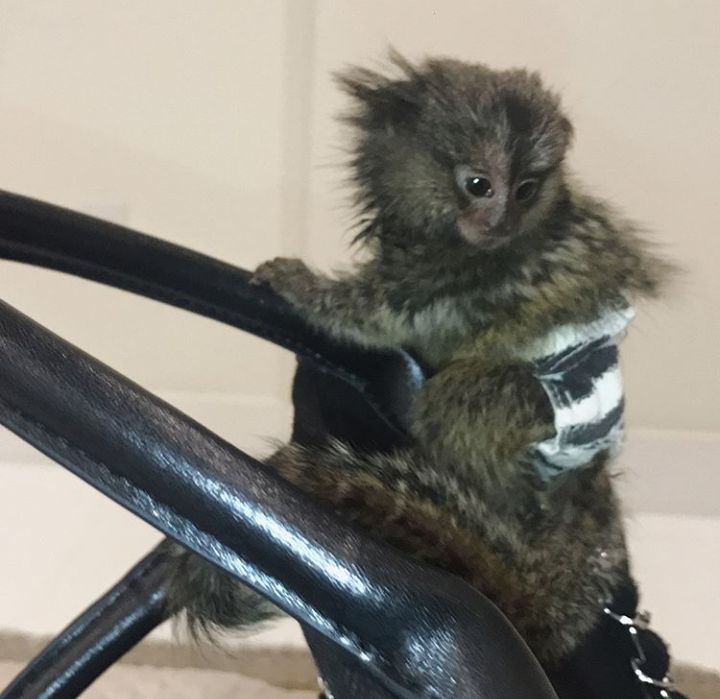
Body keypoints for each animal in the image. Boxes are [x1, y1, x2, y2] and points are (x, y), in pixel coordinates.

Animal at [164, 53, 672, 666]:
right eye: (479, 185)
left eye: (527, 190)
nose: (500, 220)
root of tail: (588, 485)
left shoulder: (452, 279)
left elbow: (374, 317)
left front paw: (295, 283)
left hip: (531, 420)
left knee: (453, 403)